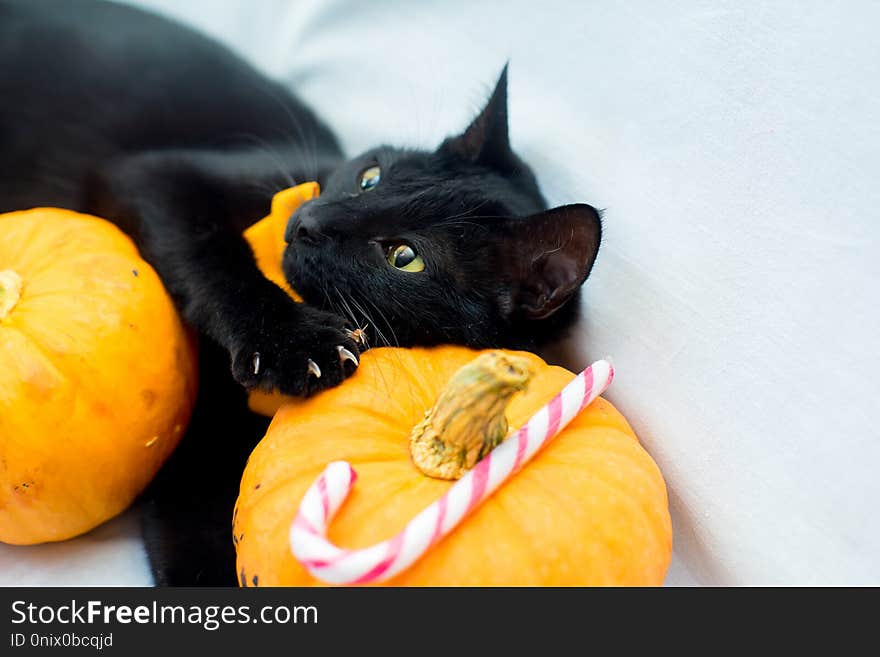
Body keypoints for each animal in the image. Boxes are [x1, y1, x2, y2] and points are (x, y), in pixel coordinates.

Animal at [0, 0, 600, 584]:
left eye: (404, 257)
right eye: (370, 176)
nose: (310, 221)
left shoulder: (197, 465)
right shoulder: (157, 177)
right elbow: (211, 253)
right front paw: (293, 344)